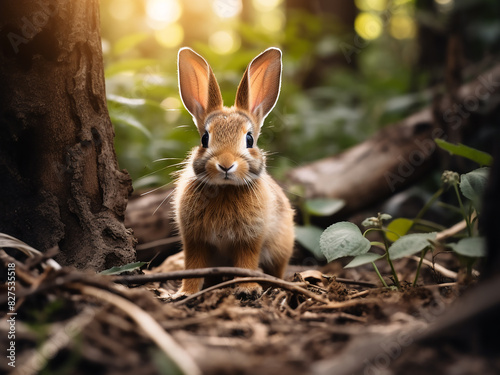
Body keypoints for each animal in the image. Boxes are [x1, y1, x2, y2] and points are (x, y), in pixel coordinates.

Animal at [174, 47, 294, 300]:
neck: (225, 189)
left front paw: (247, 289)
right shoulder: (194, 239)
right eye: (204, 139)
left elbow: (246, 262)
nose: (226, 165)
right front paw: (185, 292)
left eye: (249, 139)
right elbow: (193, 265)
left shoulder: (250, 239)